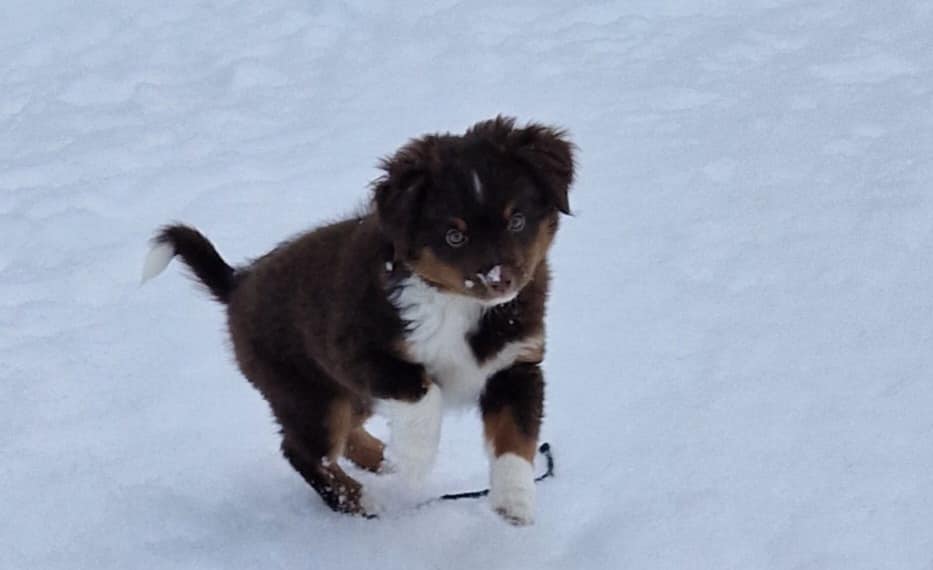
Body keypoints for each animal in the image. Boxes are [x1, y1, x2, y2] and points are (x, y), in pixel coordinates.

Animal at [141, 115, 572, 524]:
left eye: (517, 220)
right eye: (454, 236)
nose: (500, 280)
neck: (459, 303)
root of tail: (237, 282)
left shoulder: (515, 363)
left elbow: (516, 437)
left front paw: (514, 501)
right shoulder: (360, 353)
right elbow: (424, 394)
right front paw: (414, 459)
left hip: (346, 394)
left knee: (342, 435)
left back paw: (382, 459)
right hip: (309, 393)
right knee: (302, 450)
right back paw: (360, 498)